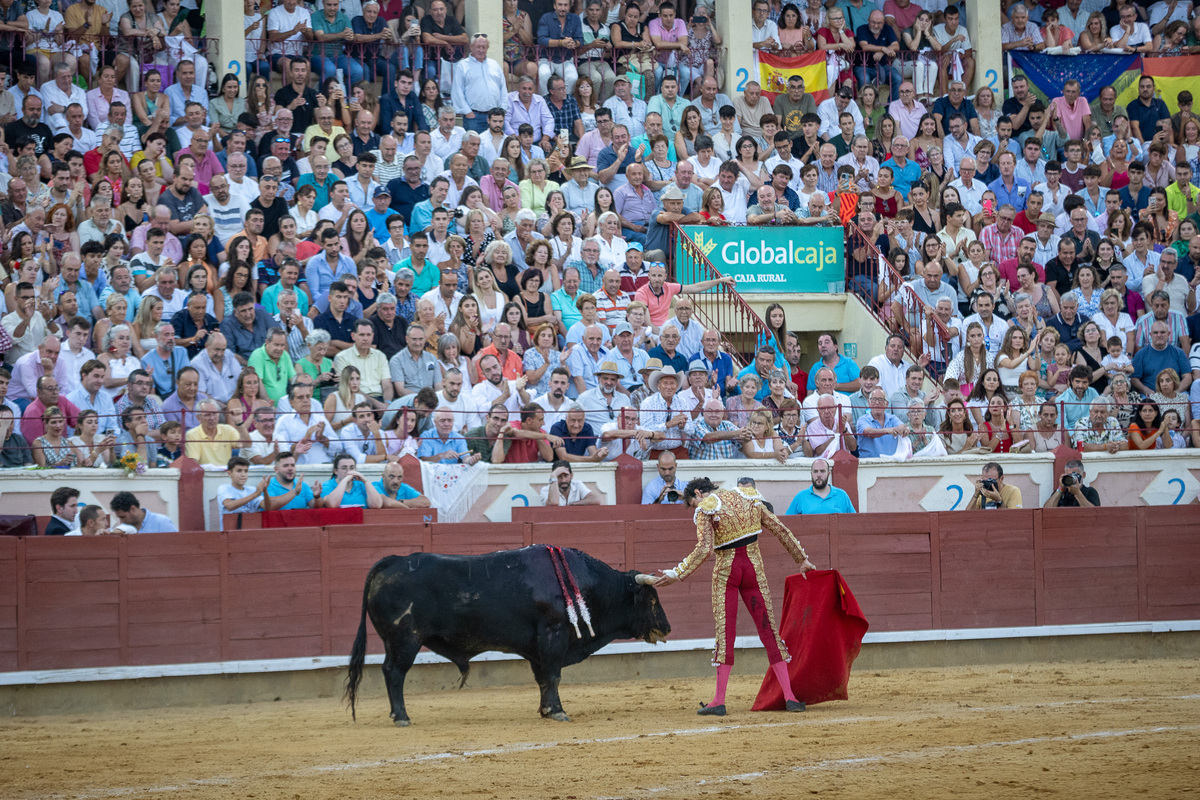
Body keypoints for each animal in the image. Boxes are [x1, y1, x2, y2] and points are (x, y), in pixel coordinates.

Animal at [348, 544, 672, 724]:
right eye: (652, 600)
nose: (667, 627)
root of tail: (393, 560)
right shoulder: (553, 636)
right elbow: (554, 675)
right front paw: (558, 712)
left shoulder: (536, 648)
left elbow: (543, 679)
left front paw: (546, 710)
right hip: (405, 639)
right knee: (394, 672)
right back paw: (402, 717)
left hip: (395, 641)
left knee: (390, 671)